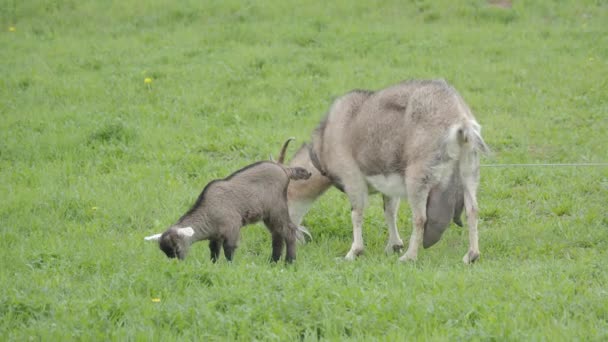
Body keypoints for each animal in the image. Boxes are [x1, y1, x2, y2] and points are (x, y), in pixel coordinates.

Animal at [145, 159, 312, 264]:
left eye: (177, 248)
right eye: (166, 253)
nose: (177, 264)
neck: (208, 211)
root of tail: (285, 170)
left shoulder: (232, 227)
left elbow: (229, 250)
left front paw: (229, 266)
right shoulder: (215, 236)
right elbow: (214, 252)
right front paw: (213, 265)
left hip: (277, 207)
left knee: (289, 231)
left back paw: (289, 262)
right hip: (269, 214)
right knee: (277, 234)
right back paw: (273, 261)